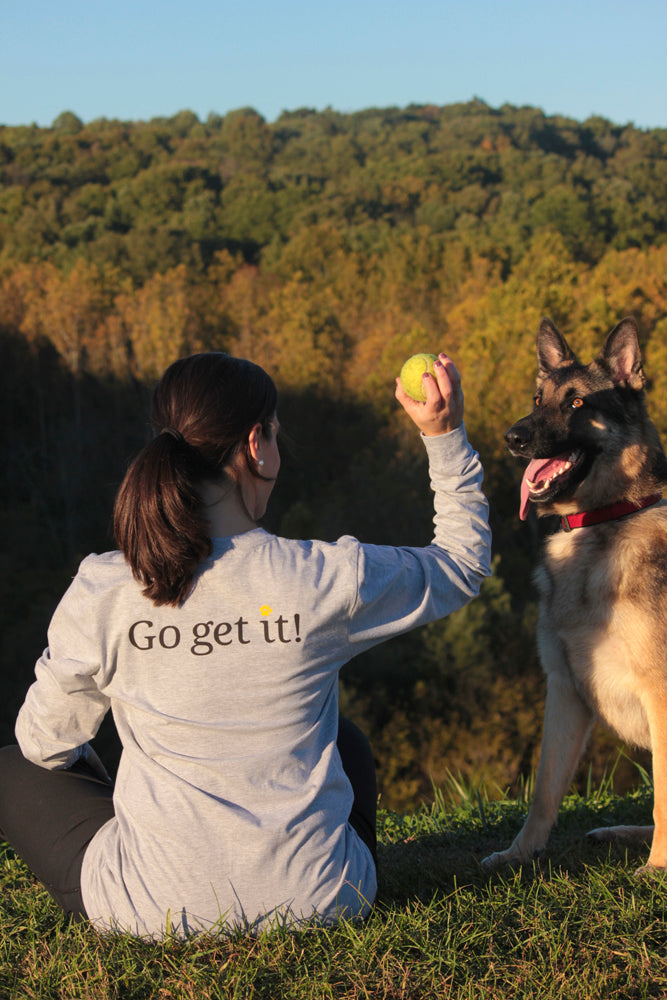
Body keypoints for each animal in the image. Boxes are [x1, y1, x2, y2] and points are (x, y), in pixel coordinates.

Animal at [482, 316, 667, 872]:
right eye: (537, 398)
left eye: (577, 403)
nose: (513, 437)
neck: (599, 524)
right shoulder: (563, 690)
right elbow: (544, 790)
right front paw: (520, 853)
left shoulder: (659, 692)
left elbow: (665, 797)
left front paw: (656, 868)